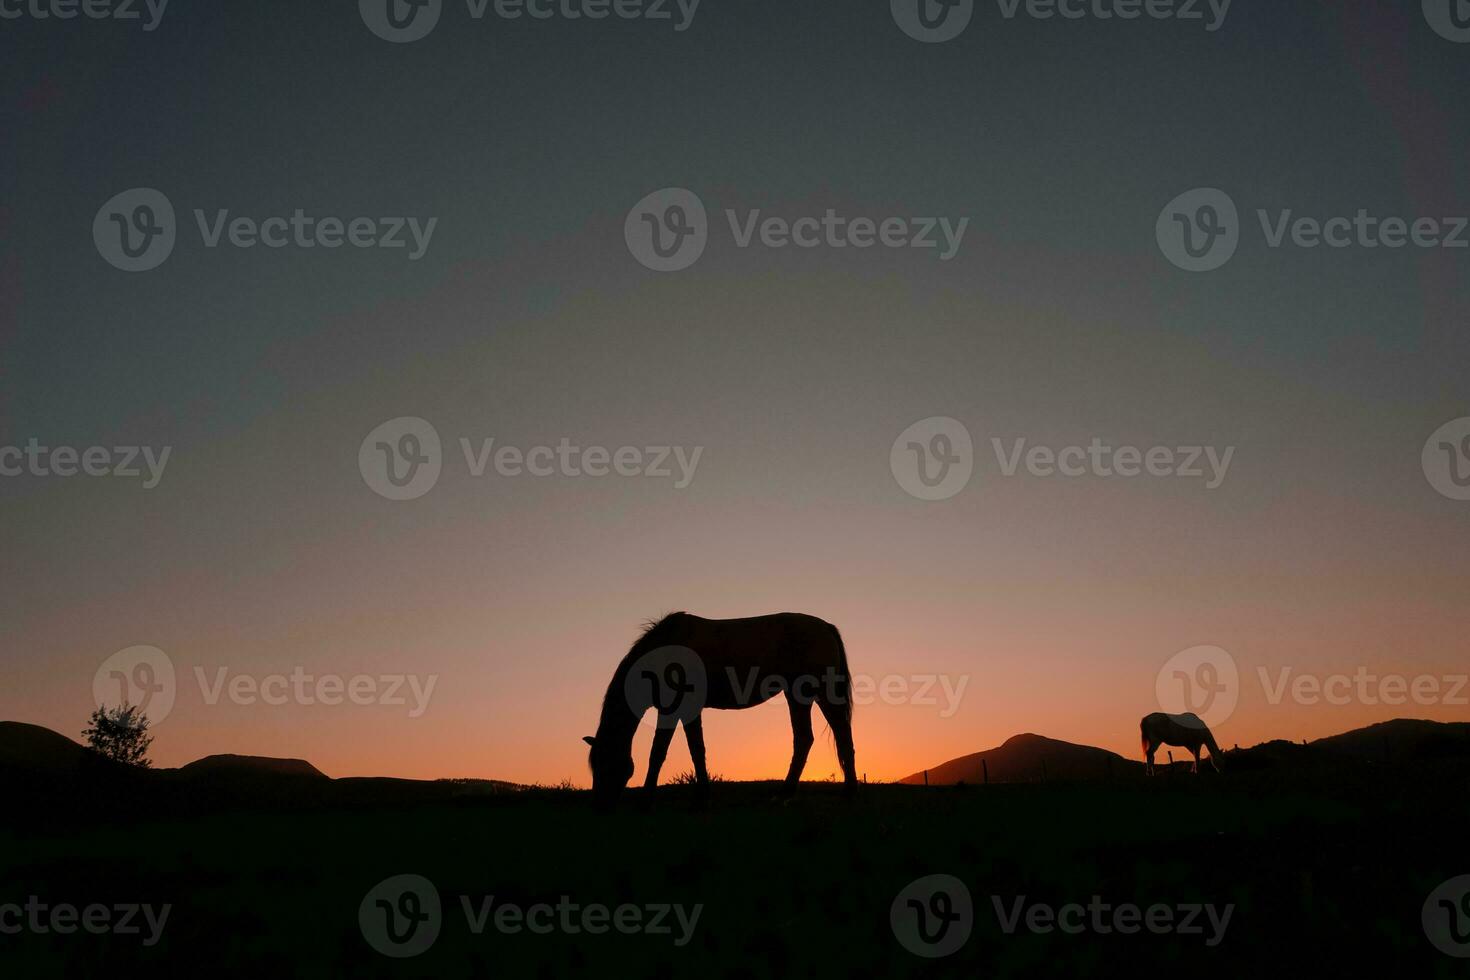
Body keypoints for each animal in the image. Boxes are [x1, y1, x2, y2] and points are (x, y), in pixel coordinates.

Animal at [582, 608, 858, 811]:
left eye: (606, 762)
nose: (599, 806)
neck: (663, 651)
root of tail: (826, 627)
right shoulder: (688, 710)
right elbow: (696, 751)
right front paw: (702, 796)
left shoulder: (673, 708)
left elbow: (658, 752)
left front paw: (646, 800)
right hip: (800, 695)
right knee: (812, 738)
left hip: (817, 693)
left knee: (834, 736)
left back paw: (841, 793)